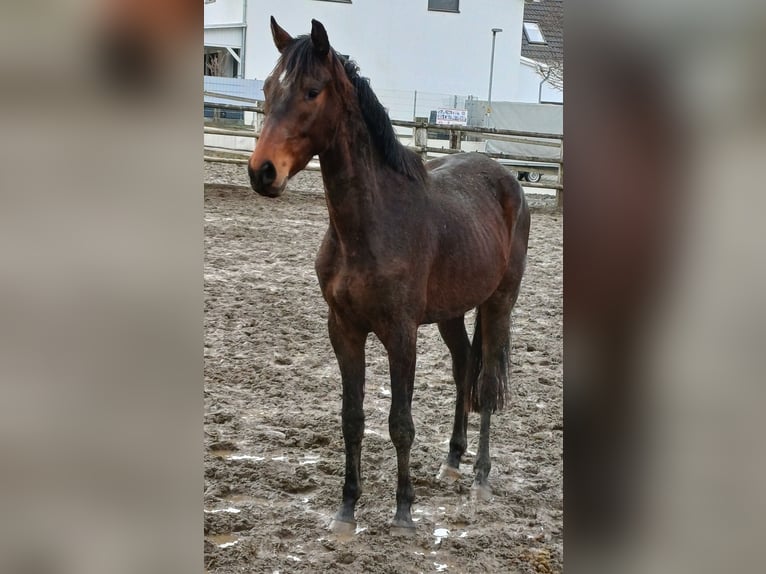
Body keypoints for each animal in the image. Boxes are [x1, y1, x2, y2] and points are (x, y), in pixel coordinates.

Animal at [248, 17, 530, 536]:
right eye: (267, 88)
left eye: (312, 91)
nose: (262, 172)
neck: (372, 225)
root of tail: (508, 180)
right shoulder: (344, 330)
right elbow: (352, 418)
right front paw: (346, 510)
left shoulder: (401, 334)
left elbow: (401, 422)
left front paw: (403, 512)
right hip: (450, 312)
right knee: (464, 366)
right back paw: (451, 461)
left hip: (499, 302)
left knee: (485, 382)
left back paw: (480, 478)